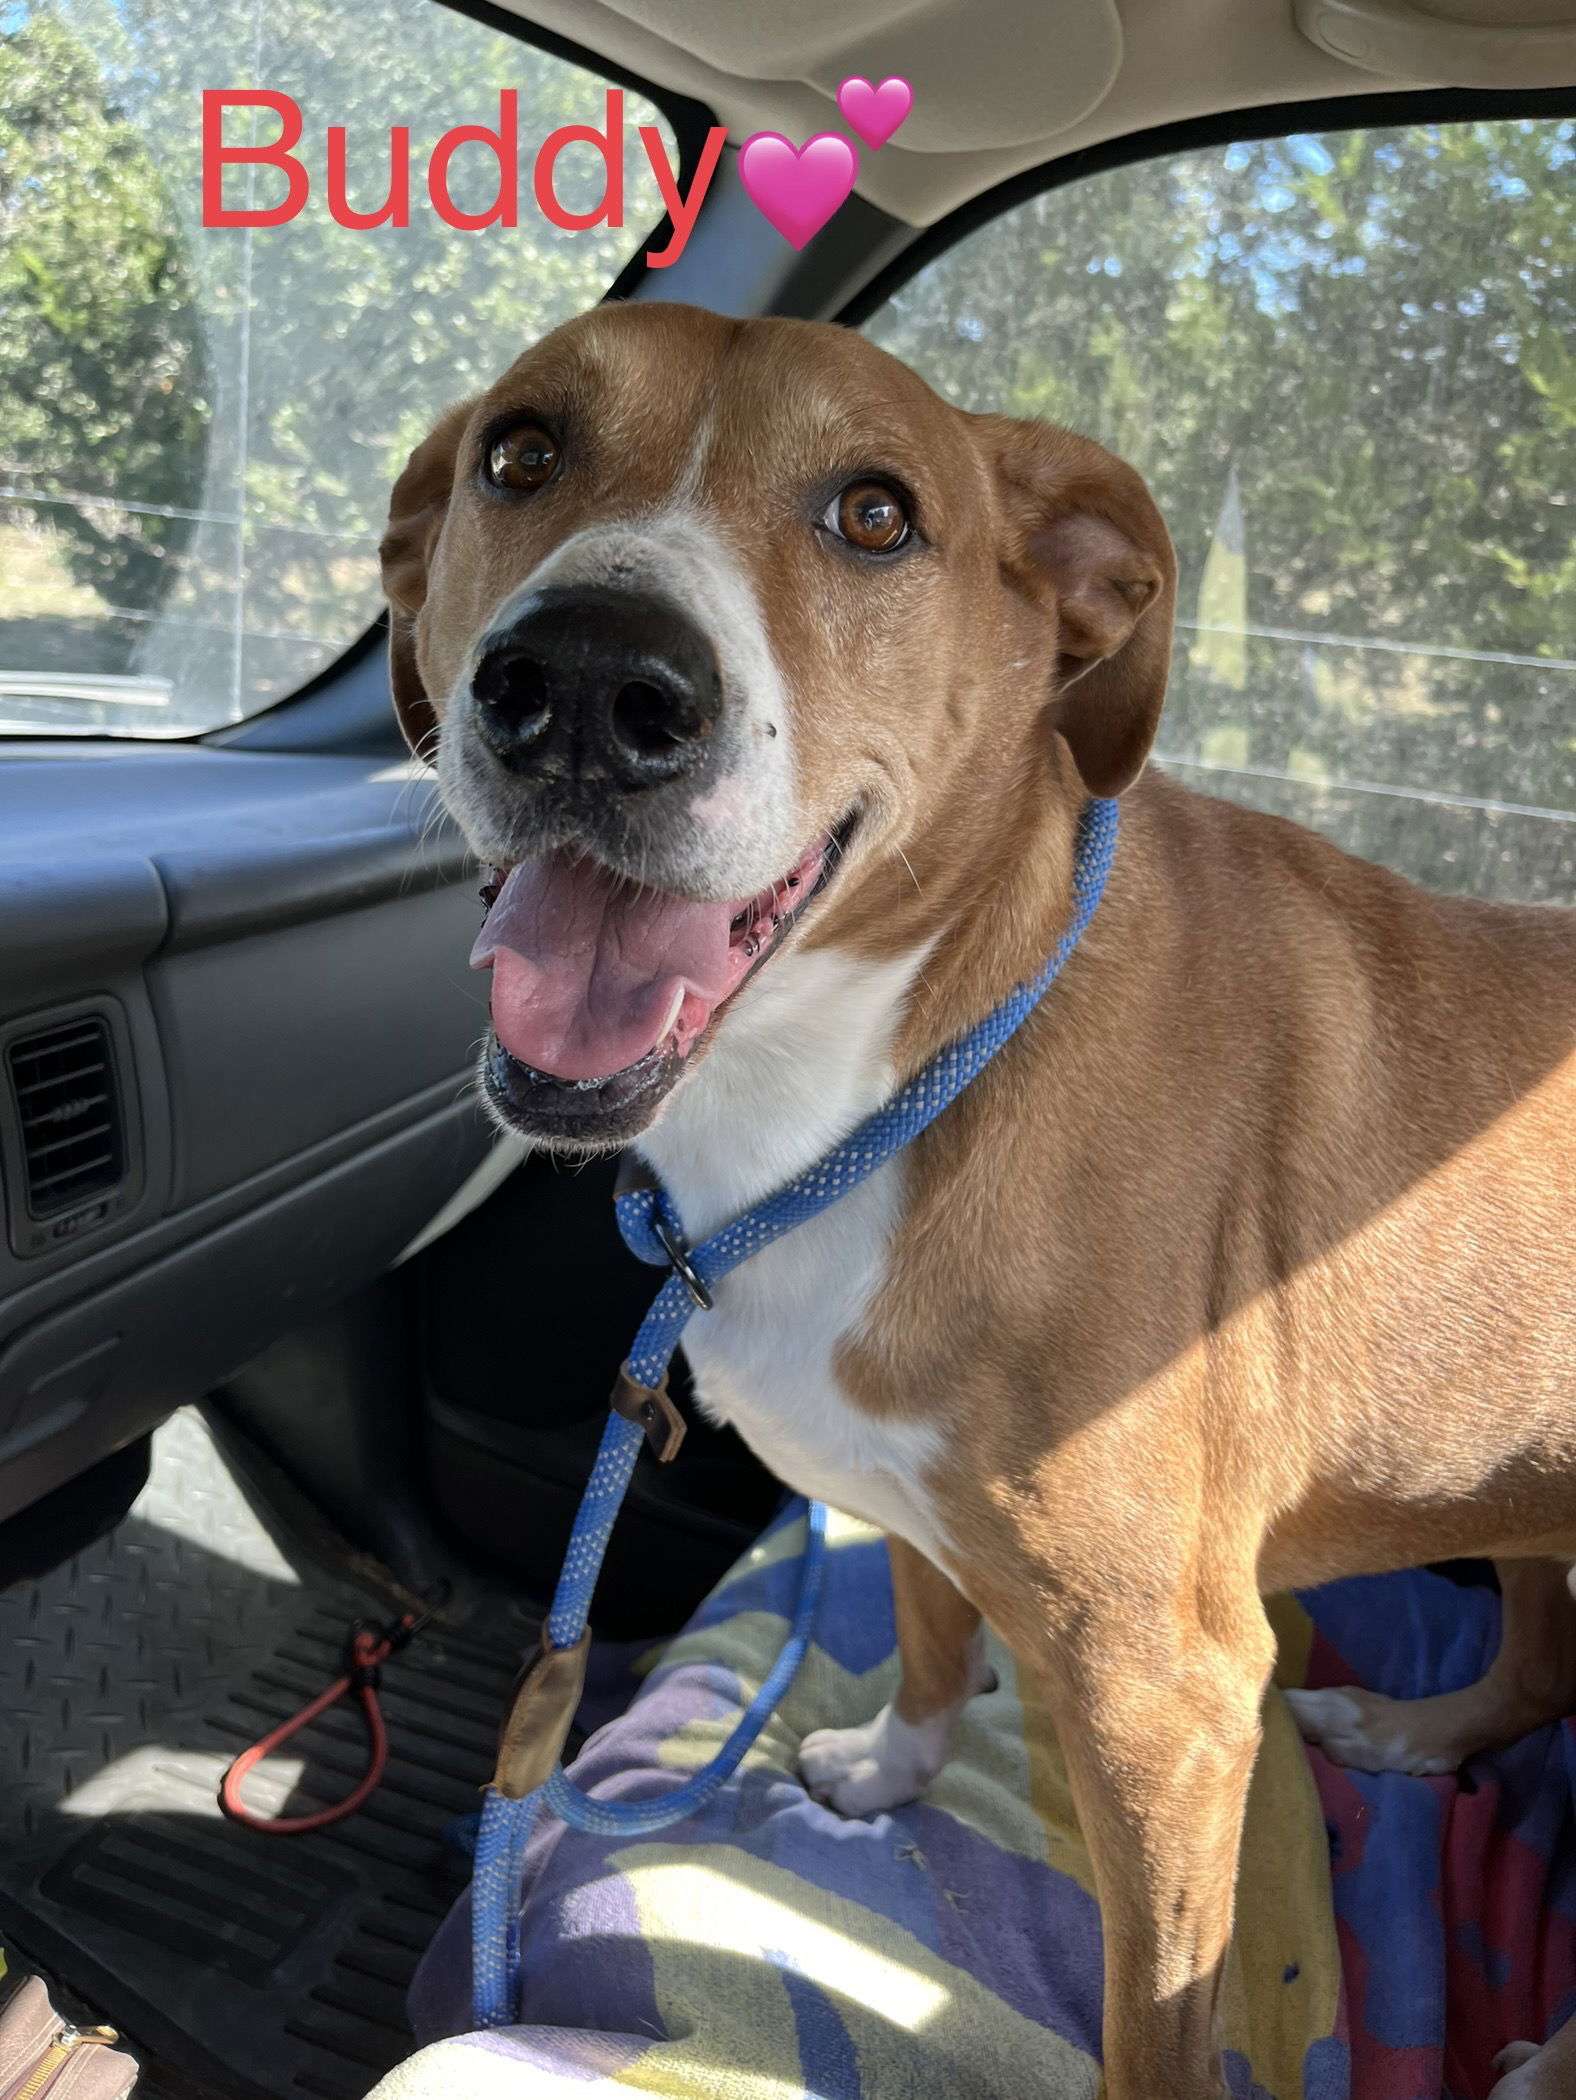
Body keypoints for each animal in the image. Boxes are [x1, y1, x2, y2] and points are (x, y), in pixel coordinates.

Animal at [382, 300, 1576, 2100]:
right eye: (521, 451)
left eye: (876, 514)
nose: (585, 682)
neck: (892, 1075)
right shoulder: (914, 1512)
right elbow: (937, 1634)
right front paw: (891, 1768)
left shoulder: (1168, 1698)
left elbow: (1157, 2017)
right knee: (1535, 1653)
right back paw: (1415, 1733)